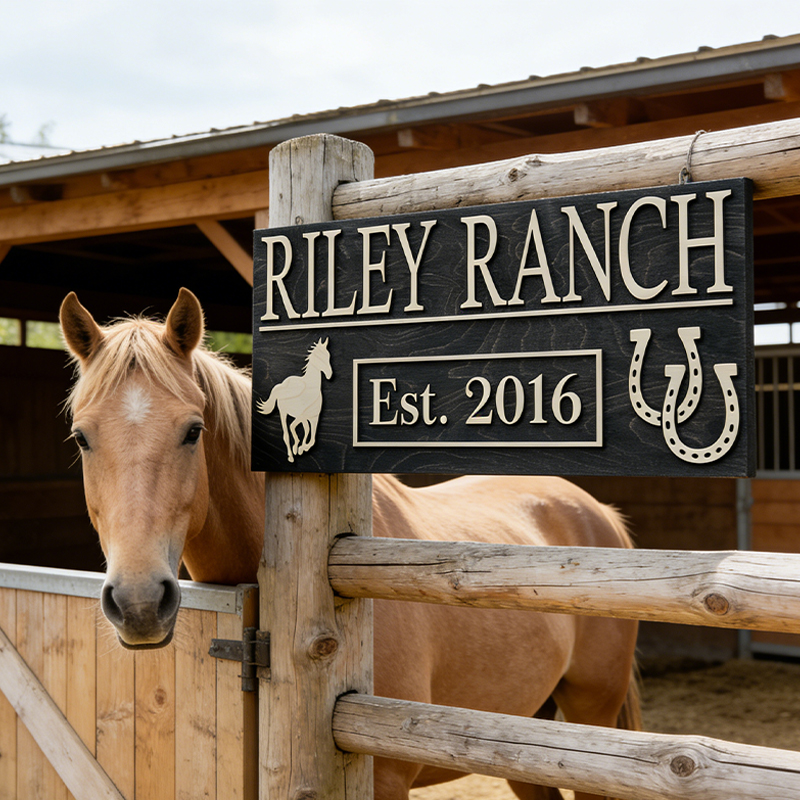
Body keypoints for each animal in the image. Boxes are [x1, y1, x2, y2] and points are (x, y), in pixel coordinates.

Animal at [60, 287, 640, 800]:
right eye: (82, 438)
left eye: (193, 430)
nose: (138, 603)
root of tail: (602, 515)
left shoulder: (385, 778)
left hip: (591, 720)